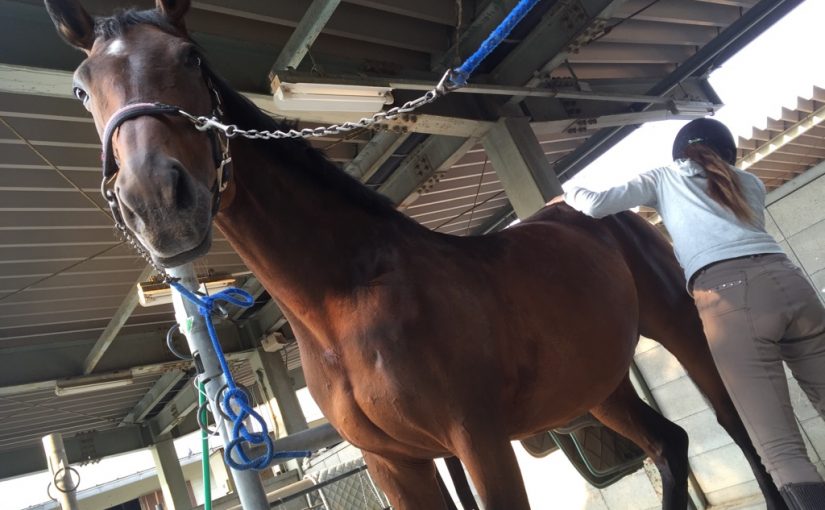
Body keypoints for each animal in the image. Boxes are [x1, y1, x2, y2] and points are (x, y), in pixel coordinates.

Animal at [43, 1, 787, 508]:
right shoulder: (394, 465)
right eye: (81, 87)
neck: (345, 301)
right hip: (596, 384)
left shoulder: (480, 443)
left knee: (739, 430)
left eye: (191, 59)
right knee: (668, 445)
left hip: (684, 330)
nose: (158, 203)